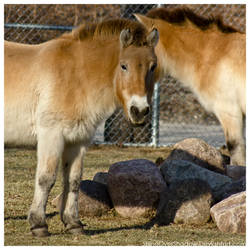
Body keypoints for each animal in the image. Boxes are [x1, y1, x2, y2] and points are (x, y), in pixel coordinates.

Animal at [4, 19, 158, 236]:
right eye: (124, 66)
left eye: (153, 66)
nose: (140, 111)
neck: (76, 75)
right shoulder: (52, 136)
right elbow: (46, 178)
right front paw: (39, 225)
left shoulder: (78, 141)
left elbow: (74, 180)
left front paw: (73, 223)